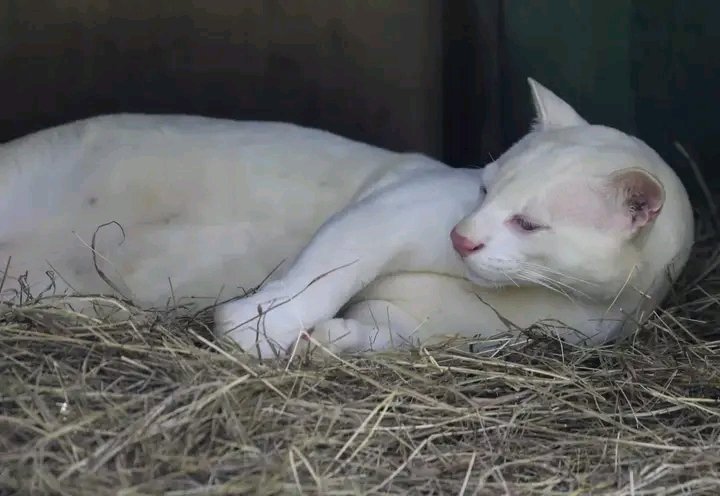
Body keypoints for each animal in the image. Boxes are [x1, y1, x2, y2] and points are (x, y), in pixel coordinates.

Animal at [0, 78, 692, 356]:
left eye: (528, 224)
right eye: (482, 189)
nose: (461, 238)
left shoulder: (446, 326)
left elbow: (383, 327)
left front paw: (328, 340)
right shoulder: (399, 206)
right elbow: (330, 267)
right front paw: (256, 330)